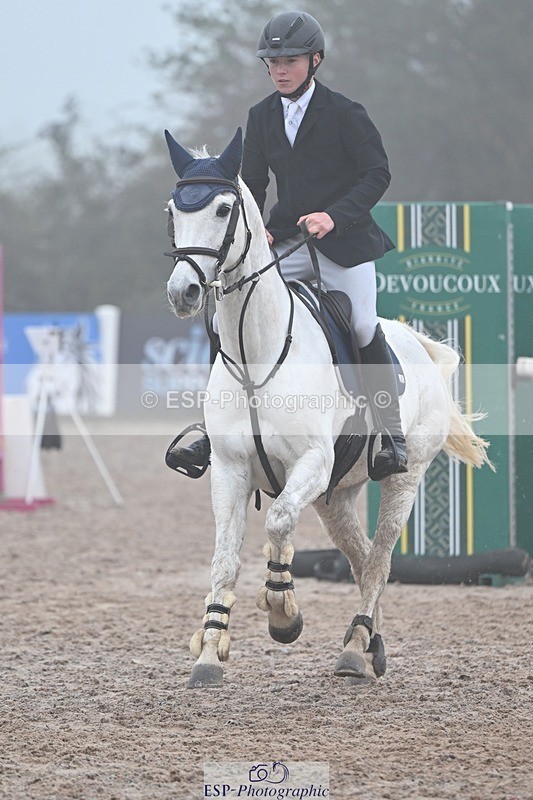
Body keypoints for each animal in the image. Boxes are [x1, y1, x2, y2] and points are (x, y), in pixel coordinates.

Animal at [163, 127, 492, 689]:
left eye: (224, 209)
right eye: (172, 211)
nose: (183, 292)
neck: (259, 354)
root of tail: (417, 344)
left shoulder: (310, 464)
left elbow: (276, 523)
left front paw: (282, 614)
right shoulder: (229, 469)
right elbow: (224, 559)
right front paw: (209, 651)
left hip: (401, 479)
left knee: (379, 560)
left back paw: (355, 649)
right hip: (335, 496)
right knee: (361, 559)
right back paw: (370, 644)